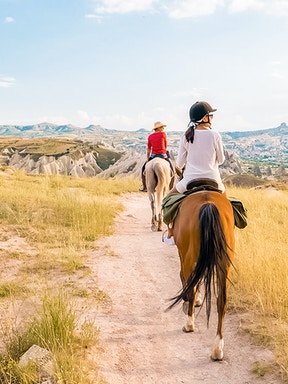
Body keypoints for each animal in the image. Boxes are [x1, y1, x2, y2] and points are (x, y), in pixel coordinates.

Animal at [169, 190, 234, 362]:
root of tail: (208, 204)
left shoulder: (183, 255)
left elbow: (187, 279)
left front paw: (191, 301)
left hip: (190, 256)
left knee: (190, 285)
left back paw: (189, 325)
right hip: (224, 262)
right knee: (221, 301)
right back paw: (217, 349)